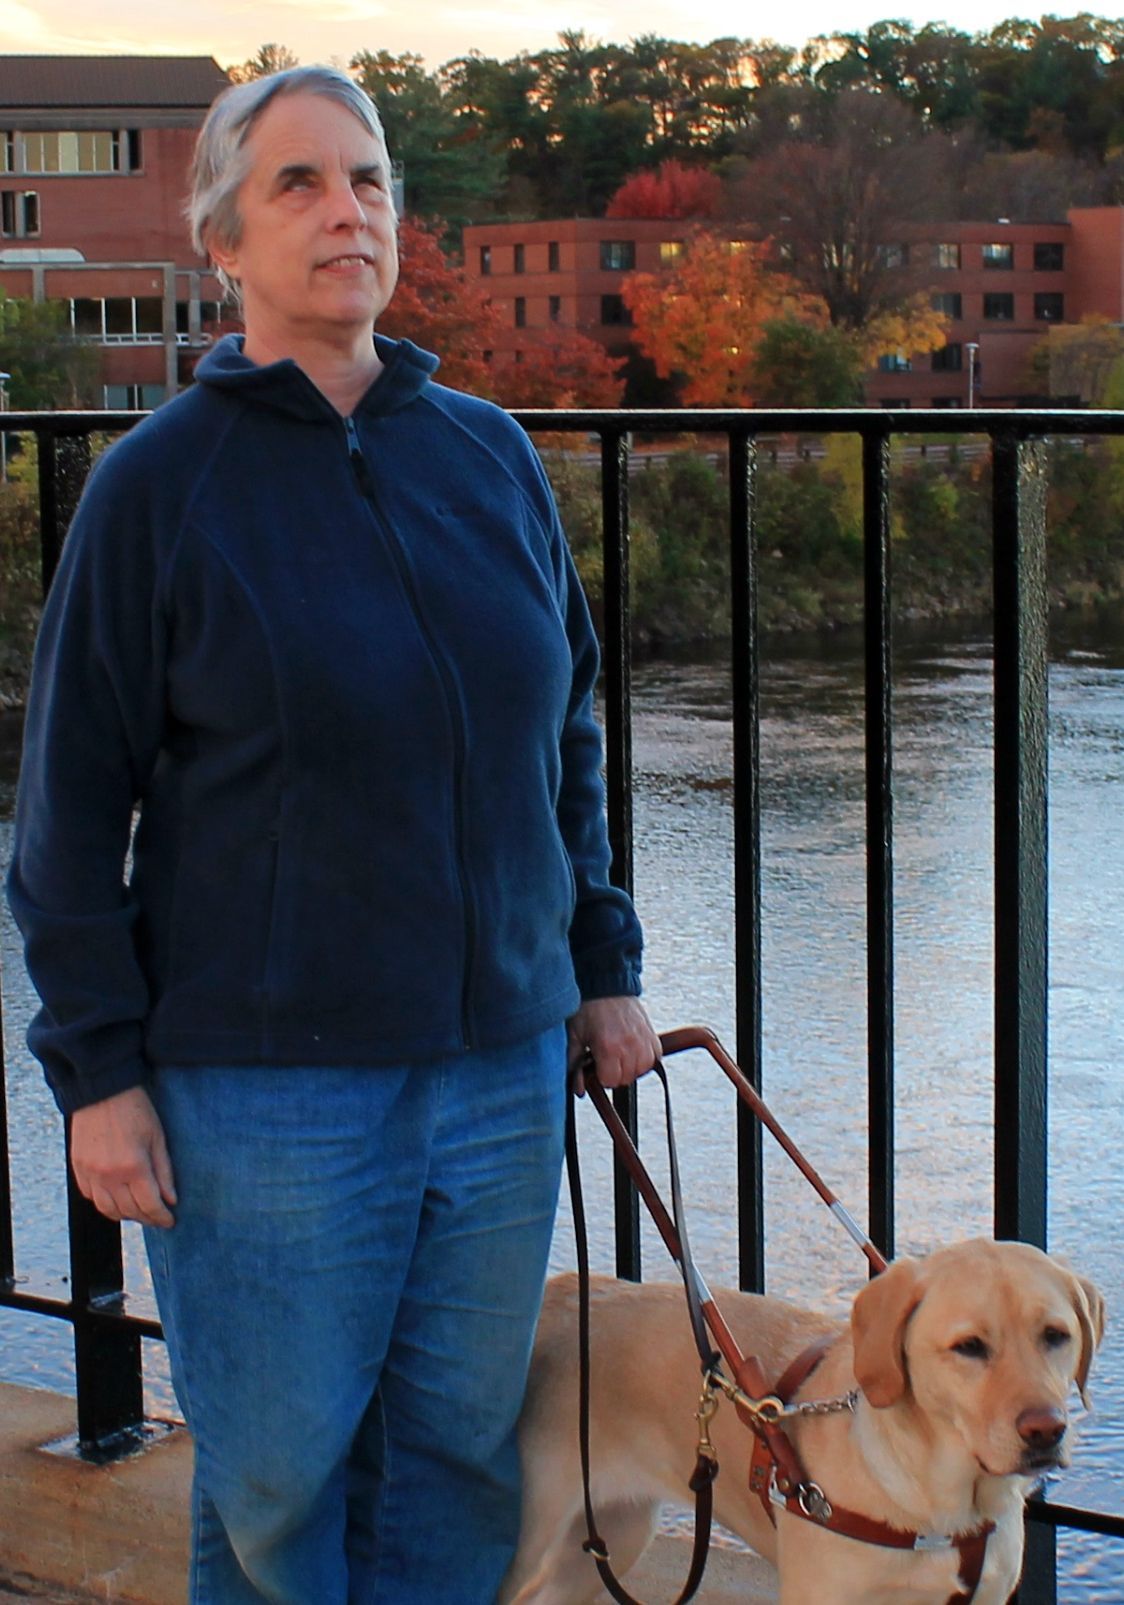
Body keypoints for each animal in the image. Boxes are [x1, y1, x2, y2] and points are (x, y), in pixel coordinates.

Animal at [504, 1239, 1104, 1605]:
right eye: (969, 1346)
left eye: (1055, 1335)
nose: (1046, 1431)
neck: (942, 1506)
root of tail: (560, 1294)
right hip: (527, 1541)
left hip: (615, 1535)